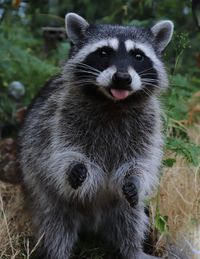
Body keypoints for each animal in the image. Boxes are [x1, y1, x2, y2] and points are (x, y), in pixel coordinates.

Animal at [18, 12, 173, 259]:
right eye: (103, 53)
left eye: (138, 56)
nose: (122, 78)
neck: (113, 103)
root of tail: (93, 220)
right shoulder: (61, 114)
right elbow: (59, 152)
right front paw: (74, 165)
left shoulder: (148, 122)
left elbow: (143, 161)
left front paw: (135, 179)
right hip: (40, 189)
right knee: (54, 221)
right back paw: (56, 251)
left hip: (120, 207)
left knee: (130, 218)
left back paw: (133, 249)